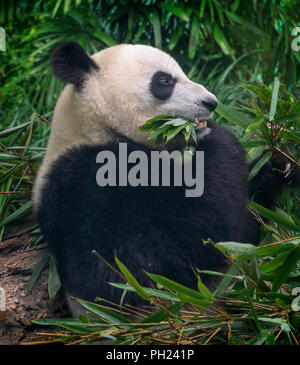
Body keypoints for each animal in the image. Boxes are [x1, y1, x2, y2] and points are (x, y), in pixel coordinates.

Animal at [32, 41, 298, 314]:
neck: (94, 128)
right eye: (164, 80)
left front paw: (279, 163)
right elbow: (151, 260)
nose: (211, 102)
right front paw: (219, 137)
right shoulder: (90, 187)